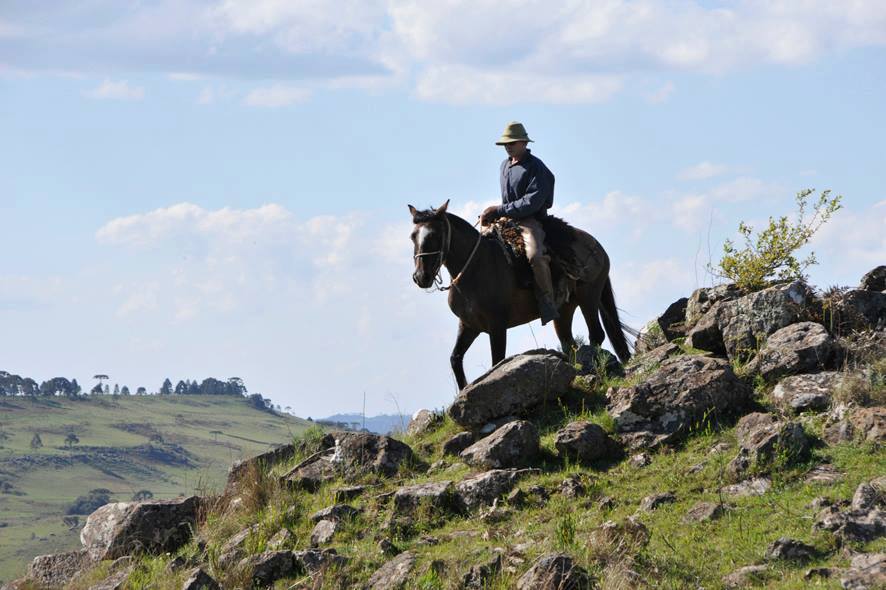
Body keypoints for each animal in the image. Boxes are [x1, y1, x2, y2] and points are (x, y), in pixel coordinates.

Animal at [410, 201, 632, 390]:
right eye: (413, 236)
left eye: (435, 235)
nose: (421, 277)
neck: (475, 267)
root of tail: (597, 246)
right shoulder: (469, 325)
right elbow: (455, 359)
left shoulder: (497, 325)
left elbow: (498, 360)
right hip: (564, 310)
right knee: (569, 344)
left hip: (589, 298)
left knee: (596, 335)